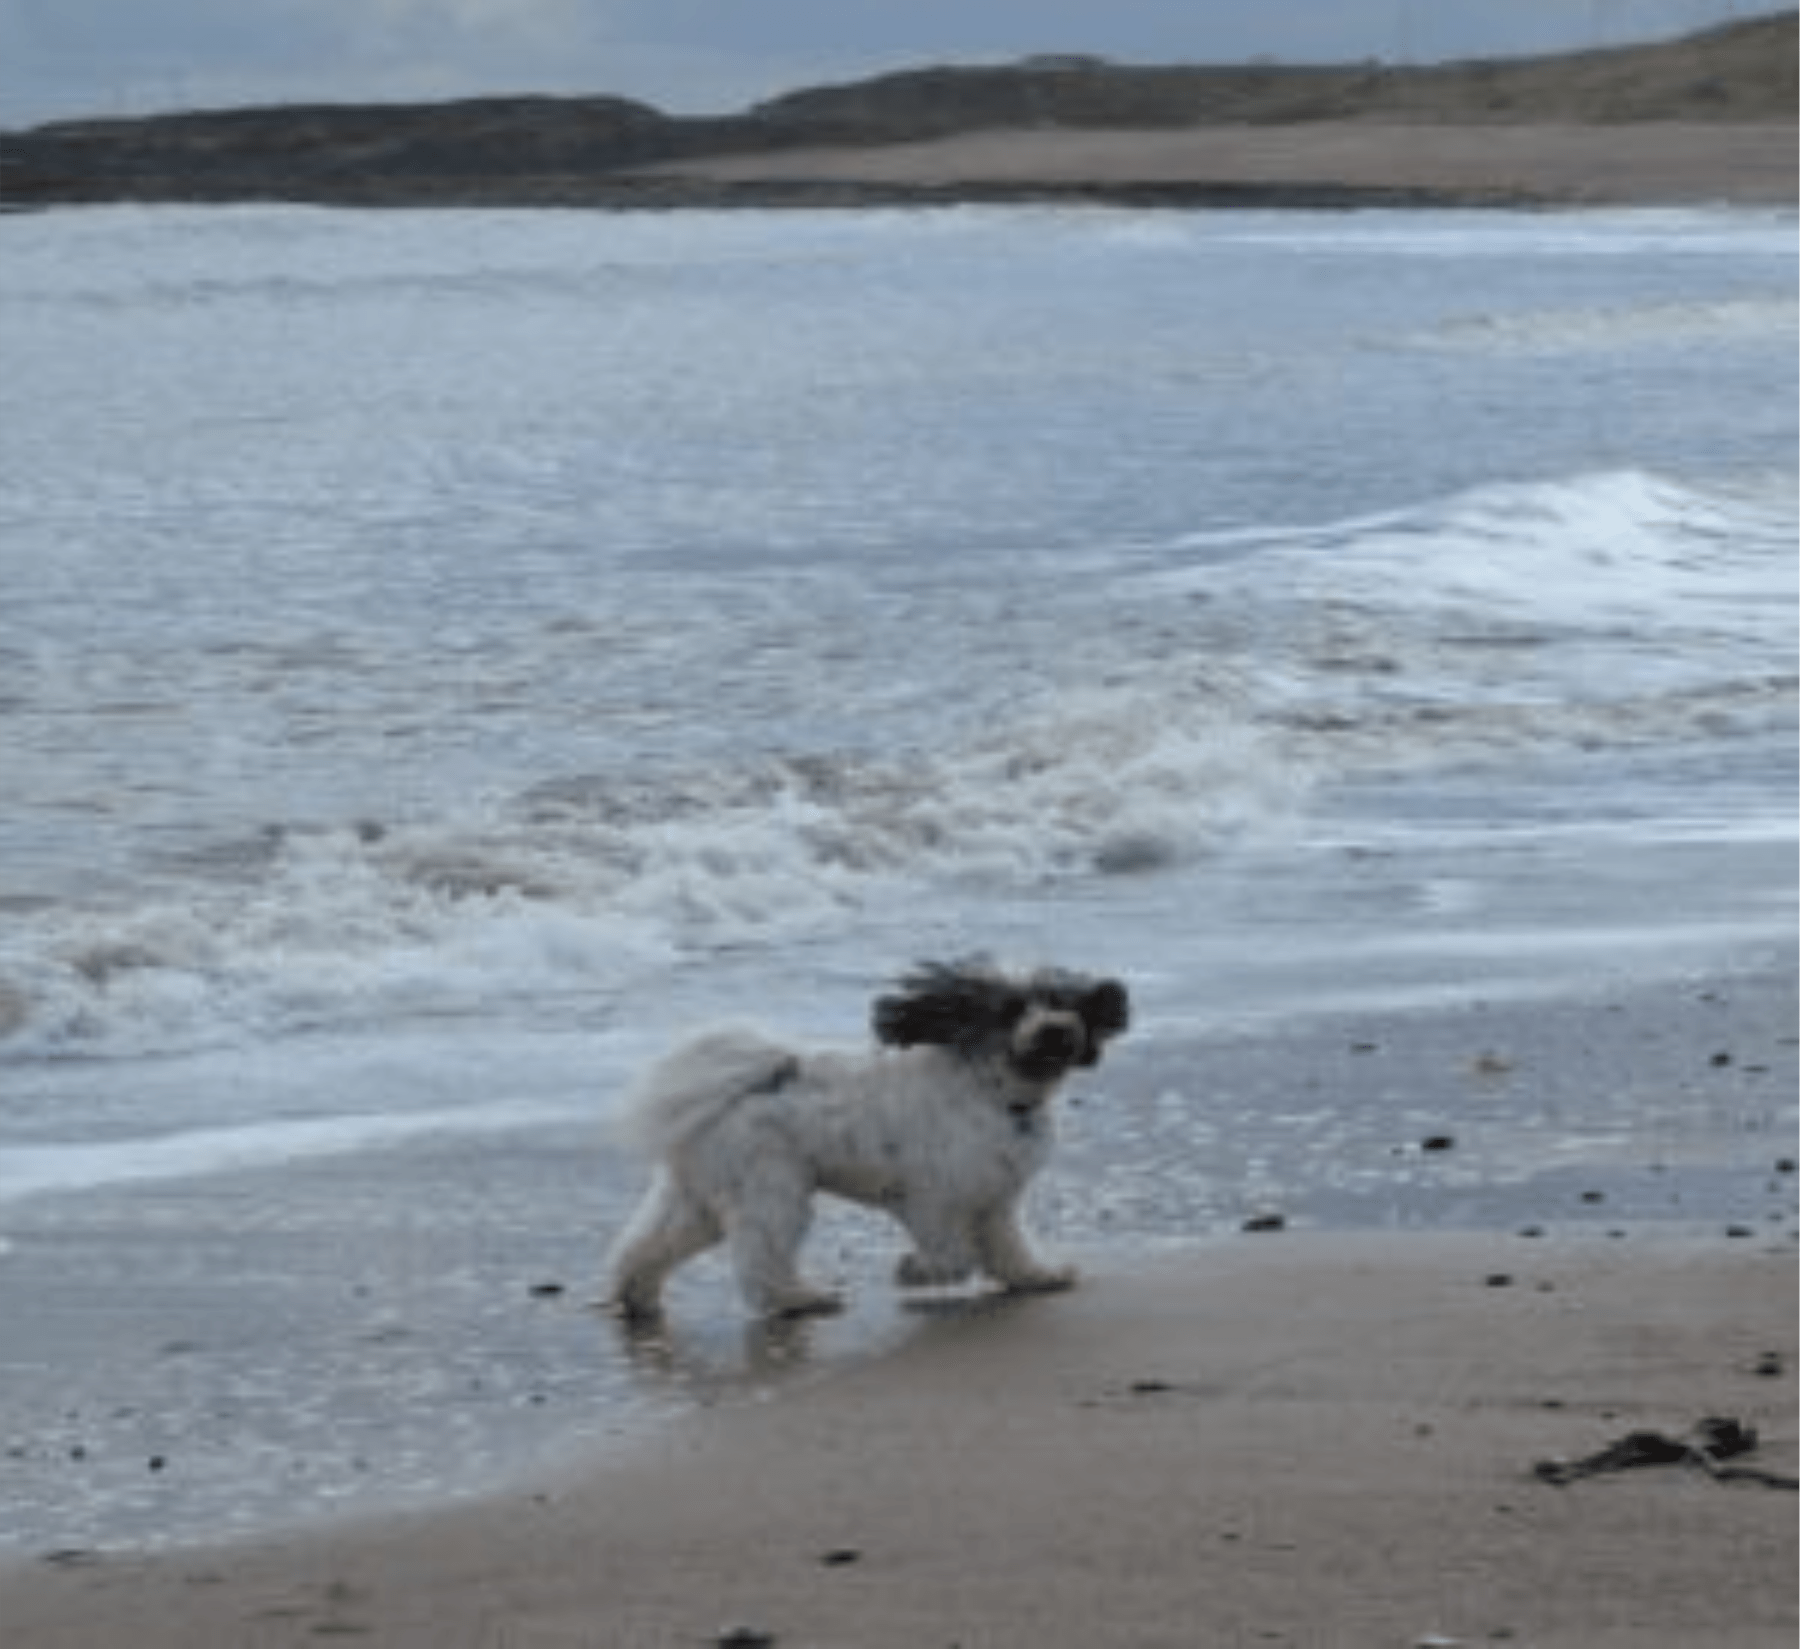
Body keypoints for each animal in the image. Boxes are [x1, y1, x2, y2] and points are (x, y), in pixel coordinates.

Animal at [612, 957, 1130, 1317]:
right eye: (1011, 1009)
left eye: (1062, 1002)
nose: (1055, 1029)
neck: (993, 1091)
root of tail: (748, 1083)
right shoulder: (932, 1197)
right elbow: (955, 1254)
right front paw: (915, 1271)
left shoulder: (995, 1201)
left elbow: (1008, 1246)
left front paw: (1037, 1276)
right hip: (771, 1191)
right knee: (762, 1256)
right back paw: (798, 1299)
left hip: (699, 1195)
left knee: (650, 1244)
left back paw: (637, 1294)